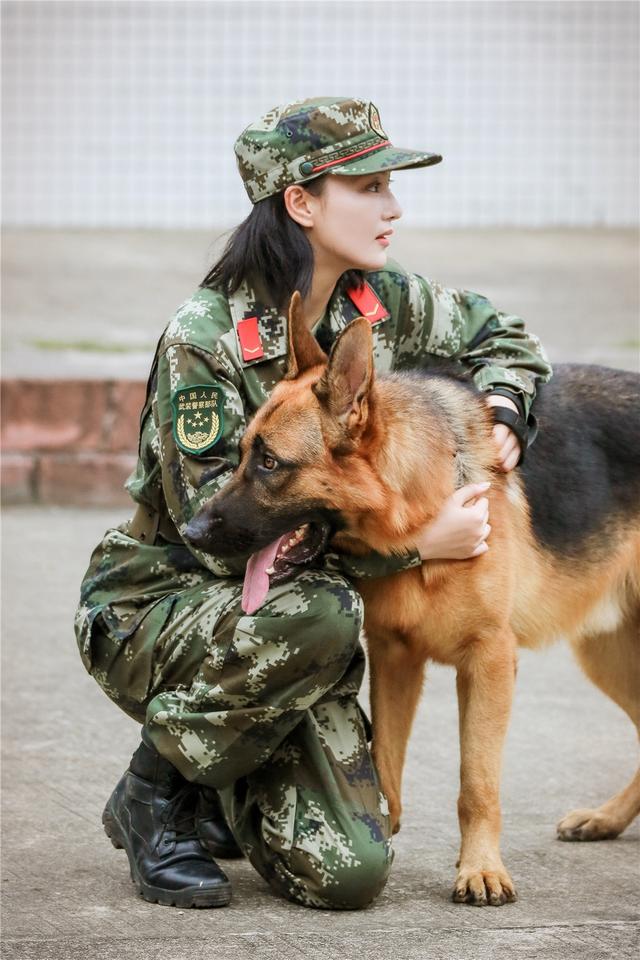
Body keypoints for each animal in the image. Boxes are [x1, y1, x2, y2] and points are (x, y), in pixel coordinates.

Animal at [188, 292, 640, 908]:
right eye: (238, 454)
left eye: (270, 463)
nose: (191, 530)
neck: (422, 500)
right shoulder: (396, 657)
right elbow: (385, 761)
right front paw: (385, 823)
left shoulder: (488, 662)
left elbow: (477, 784)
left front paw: (480, 869)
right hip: (606, 655)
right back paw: (606, 819)